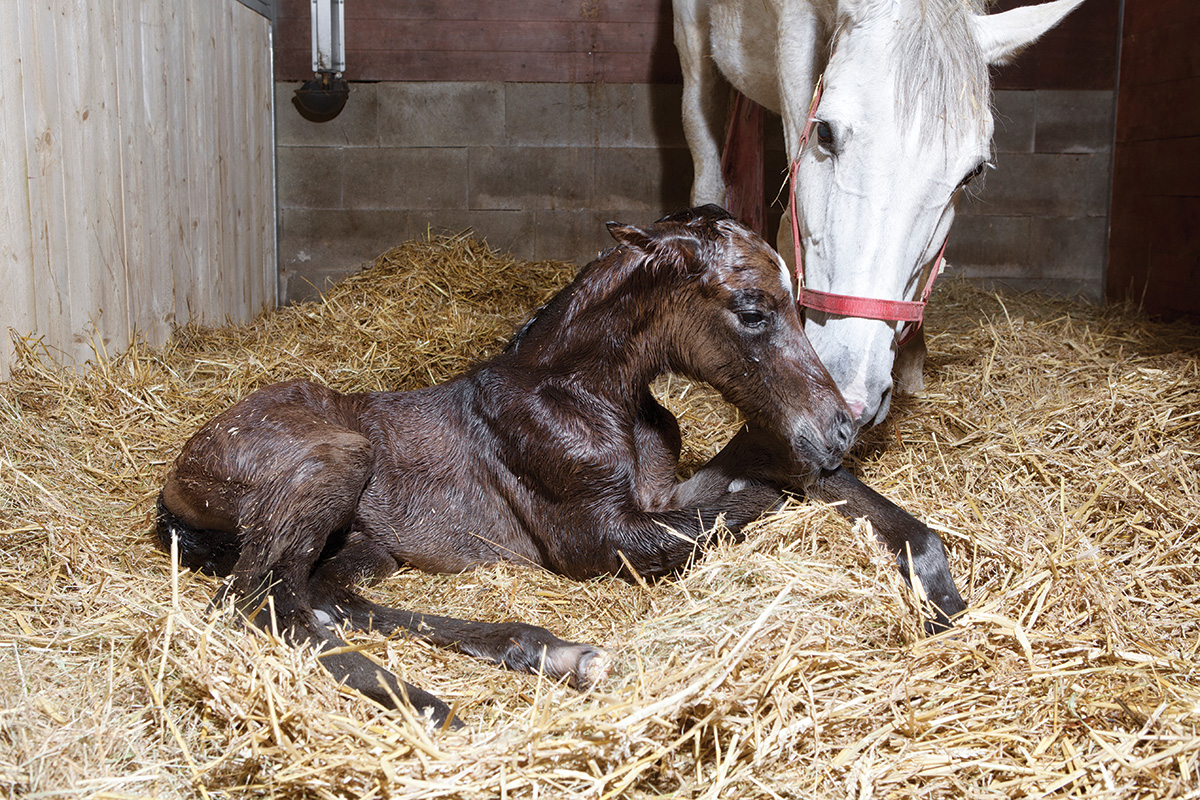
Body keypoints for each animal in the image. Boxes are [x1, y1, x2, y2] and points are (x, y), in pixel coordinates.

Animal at [157, 205, 964, 724]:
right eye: (752, 309)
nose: (839, 429)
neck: (584, 393)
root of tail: (175, 478)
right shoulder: (595, 537)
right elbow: (734, 512)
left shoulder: (661, 492)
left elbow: (766, 482)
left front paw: (942, 597)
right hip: (337, 459)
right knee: (254, 600)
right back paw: (429, 702)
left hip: (366, 545)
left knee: (324, 598)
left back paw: (553, 655)